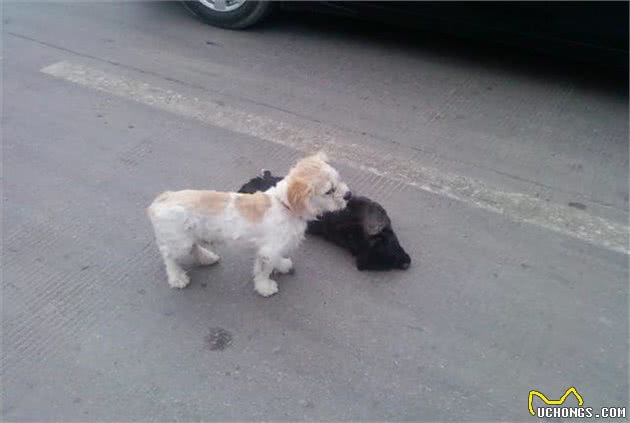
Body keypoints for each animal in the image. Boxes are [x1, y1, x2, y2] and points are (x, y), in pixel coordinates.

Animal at [150, 153, 354, 298]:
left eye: (339, 179)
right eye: (329, 191)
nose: (349, 195)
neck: (284, 205)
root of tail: (161, 199)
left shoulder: (270, 249)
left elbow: (274, 261)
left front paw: (282, 265)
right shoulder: (269, 250)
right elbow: (264, 271)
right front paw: (265, 287)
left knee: (194, 248)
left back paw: (206, 258)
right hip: (179, 243)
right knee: (169, 258)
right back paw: (177, 277)